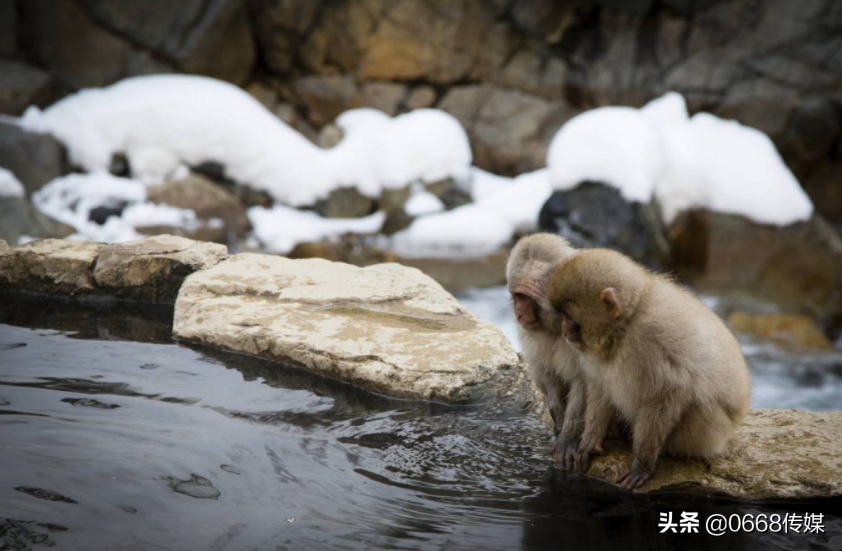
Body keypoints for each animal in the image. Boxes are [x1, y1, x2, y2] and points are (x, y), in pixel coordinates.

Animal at [506, 234, 584, 470]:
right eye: (516, 296)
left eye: (525, 298)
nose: (518, 313)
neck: (558, 323)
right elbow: (546, 373)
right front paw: (558, 421)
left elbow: (585, 382)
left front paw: (569, 438)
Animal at [548, 250, 752, 492]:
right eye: (562, 316)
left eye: (569, 317)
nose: (563, 330)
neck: (626, 325)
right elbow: (601, 387)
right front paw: (589, 440)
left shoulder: (651, 343)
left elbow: (669, 394)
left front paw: (642, 464)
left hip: (707, 432)